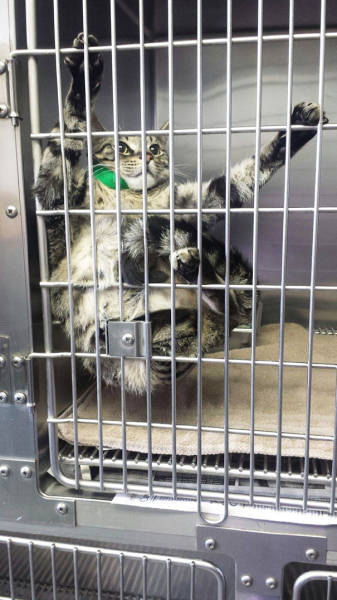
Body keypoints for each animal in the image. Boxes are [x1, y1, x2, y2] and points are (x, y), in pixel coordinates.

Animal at [34, 35, 326, 396]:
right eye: (121, 147)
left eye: (156, 147)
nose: (147, 156)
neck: (131, 198)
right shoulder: (53, 199)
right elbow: (67, 135)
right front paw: (83, 79)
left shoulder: (192, 202)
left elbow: (236, 182)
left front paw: (295, 132)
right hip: (152, 342)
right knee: (217, 316)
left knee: (226, 311)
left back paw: (198, 274)